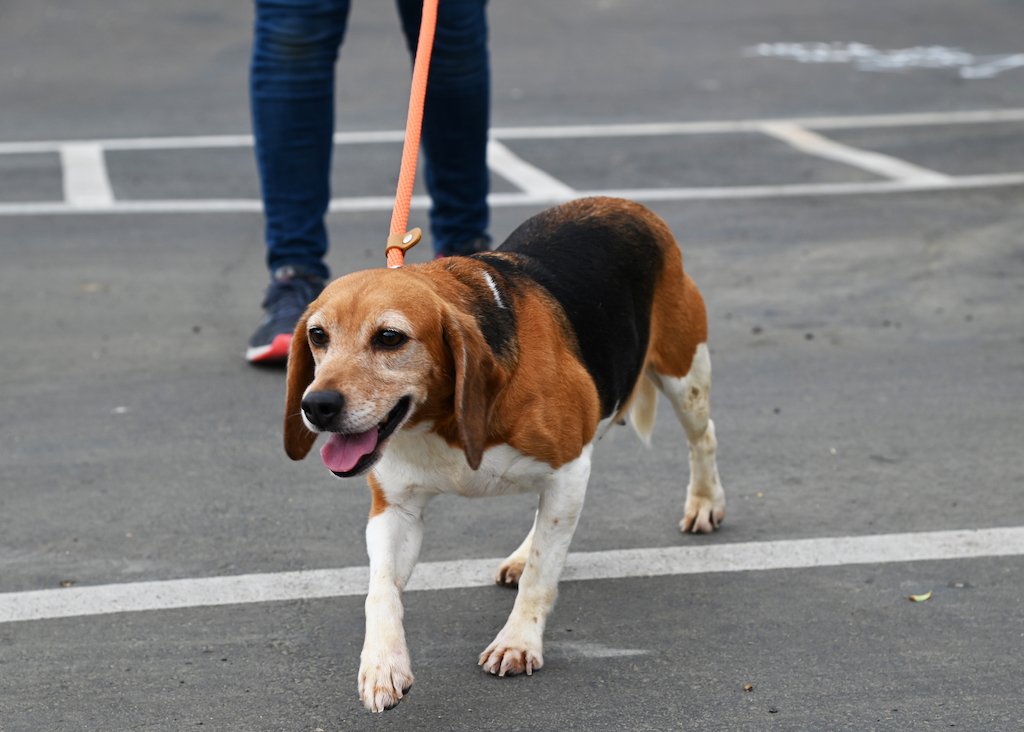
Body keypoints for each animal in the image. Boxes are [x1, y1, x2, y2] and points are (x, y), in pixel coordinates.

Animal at [284, 197, 724, 712]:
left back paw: (704, 503)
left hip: (684, 377)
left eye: (390, 338)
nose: (317, 405)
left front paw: (518, 642)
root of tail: (623, 204)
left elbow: (542, 574)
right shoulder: (394, 509)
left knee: (703, 438)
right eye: (318, 336)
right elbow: (381, 591)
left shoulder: (568, 470)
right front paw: (382, 663)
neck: (441, 422)